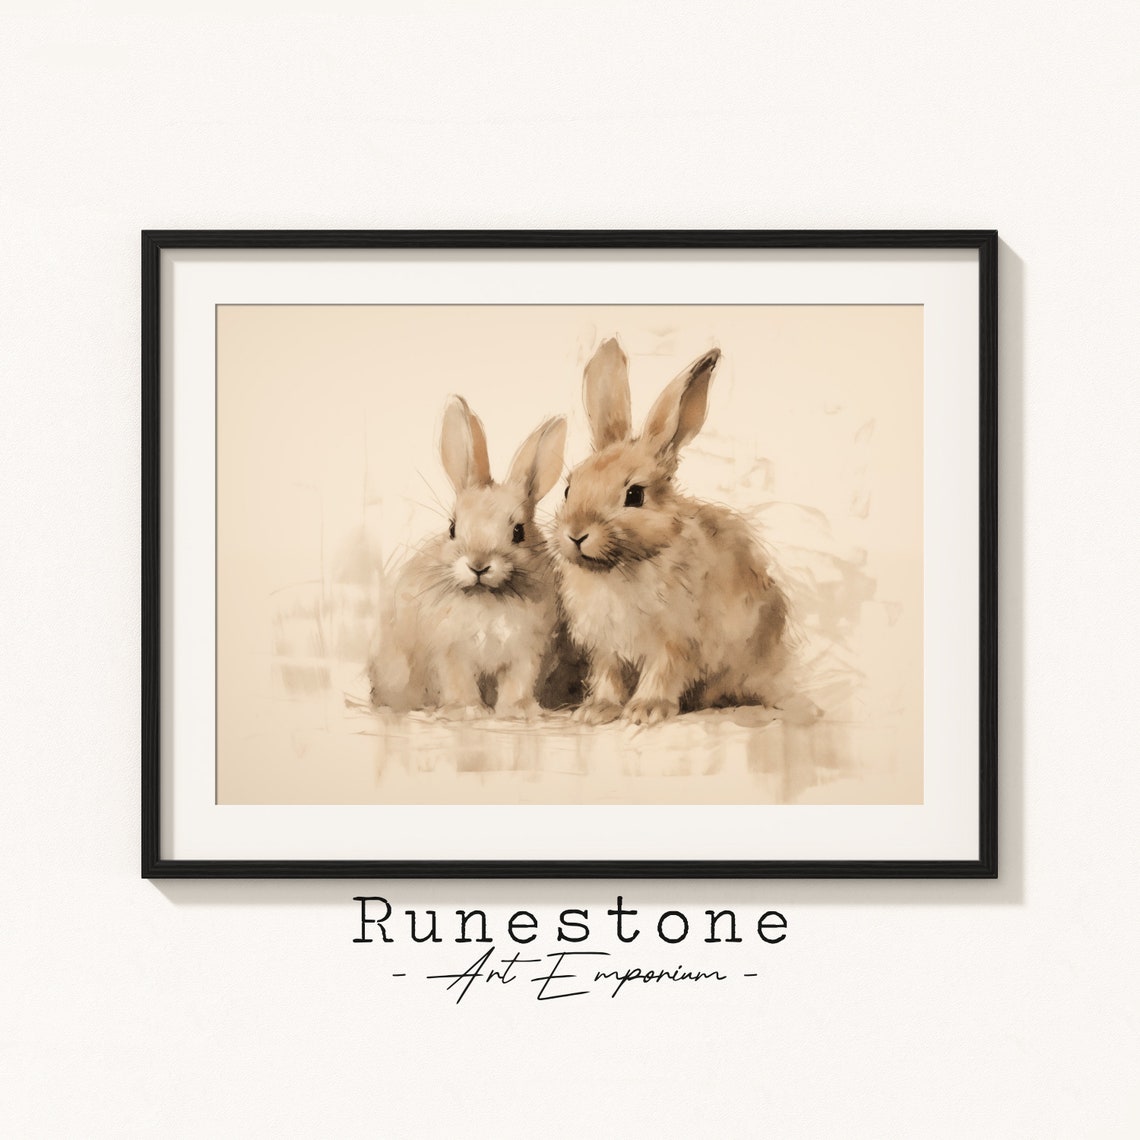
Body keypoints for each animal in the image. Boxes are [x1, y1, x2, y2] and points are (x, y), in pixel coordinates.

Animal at [369, 396, 568, 719]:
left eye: (518, 531)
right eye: (452, 527)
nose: (478, 565)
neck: (487, 597)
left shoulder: (527, 653)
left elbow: (518, 682)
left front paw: (518, 711)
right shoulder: (450, 652)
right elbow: (458, 681)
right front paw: (468, 711)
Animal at [553, 337, 790, 726]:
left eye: (635, 495)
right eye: (569, 489)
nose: (576, 533)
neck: (622, 565)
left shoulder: (676, 640)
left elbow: (662, 672)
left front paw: (645, 710)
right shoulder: (606, 646)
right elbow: (607, 675)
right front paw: (596, 710)